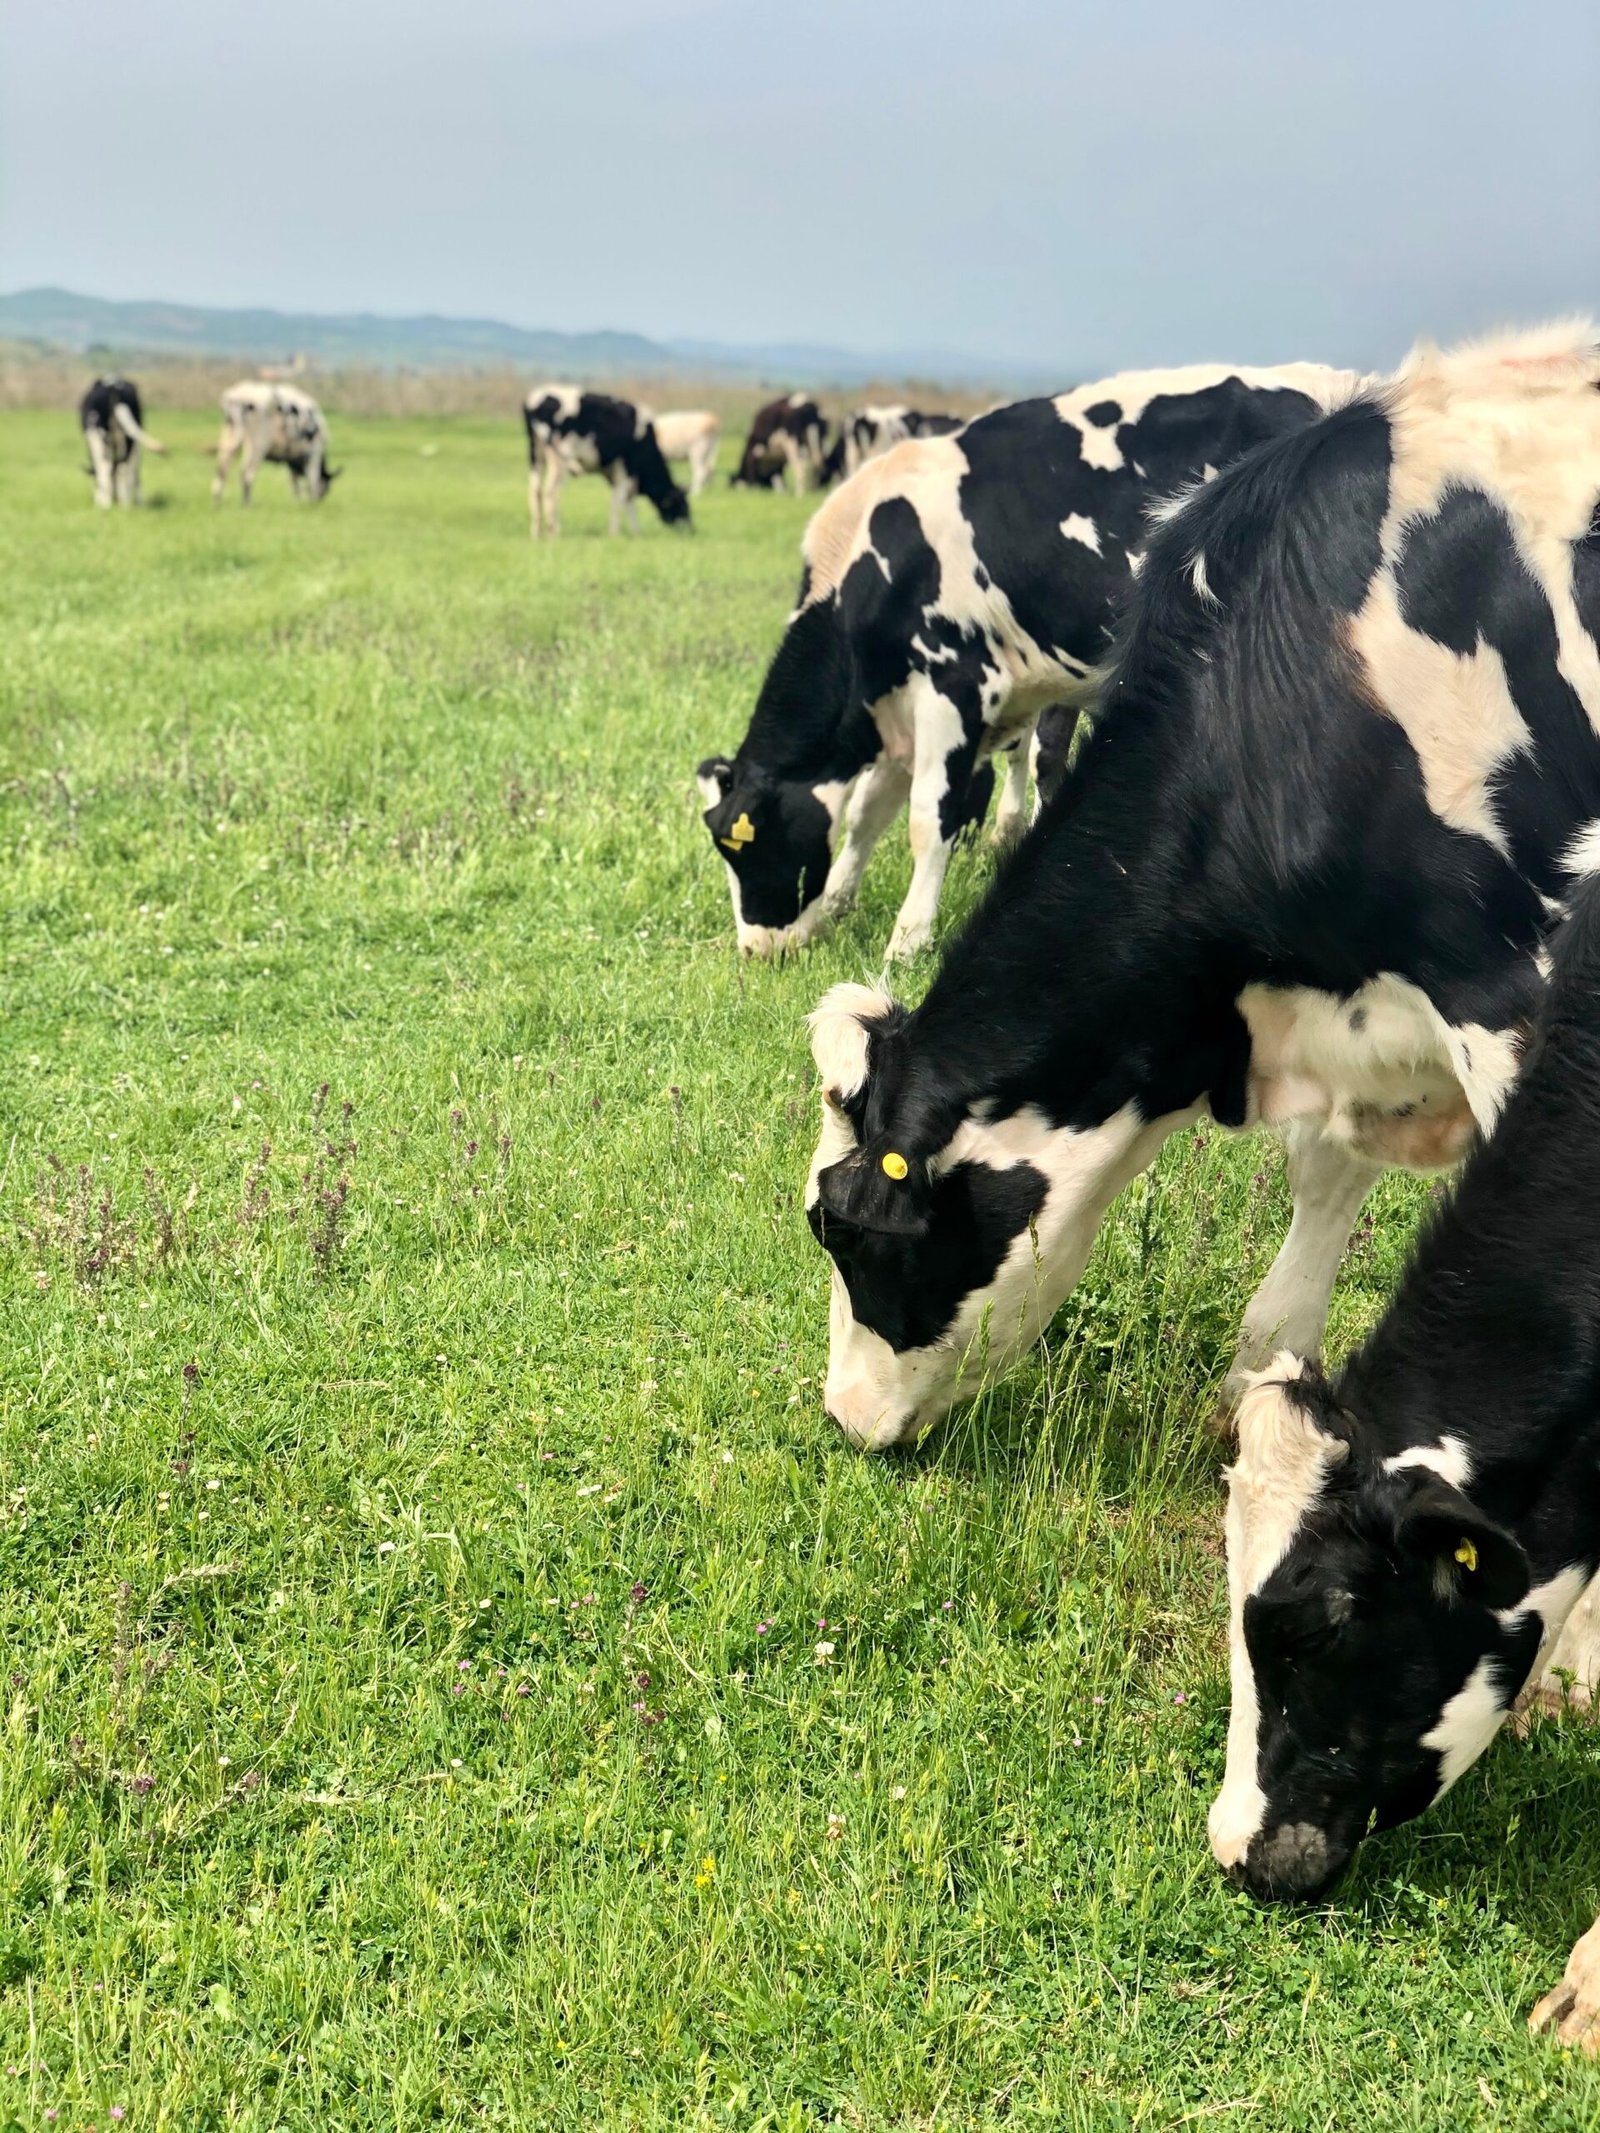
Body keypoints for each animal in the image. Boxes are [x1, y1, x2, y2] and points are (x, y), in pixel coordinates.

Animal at [79, 376, 165, 508]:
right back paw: (126, 504)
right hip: (129, 438)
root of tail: (113, 387)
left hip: (100, 437)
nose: (115, 498)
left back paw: (105, 505)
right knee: (124, 467)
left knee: (106, 466)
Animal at [524, 387, 691, 538]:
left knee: (535, 490)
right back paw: (554, 533)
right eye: (683, 506)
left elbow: (627, 503)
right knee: (551, 492)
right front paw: (615, 534)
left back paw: (536, 534)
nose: (692, 530)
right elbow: (619, 502)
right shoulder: (625, 469)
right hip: (559, 459)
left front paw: (636, 533)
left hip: (536, 455)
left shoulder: (615, 472)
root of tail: (534, 400)